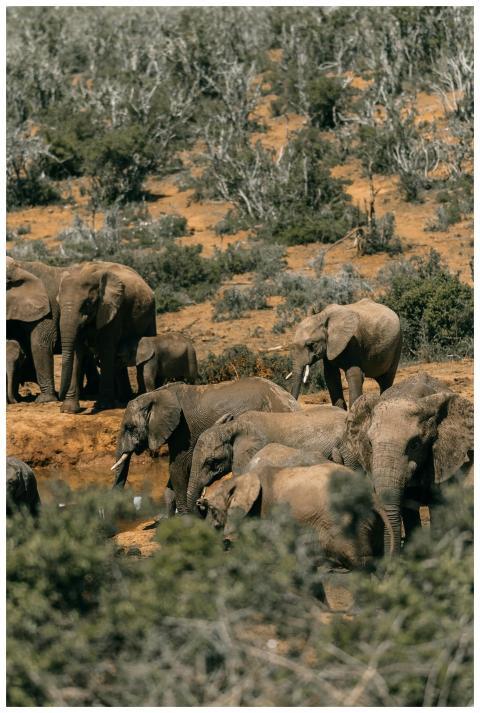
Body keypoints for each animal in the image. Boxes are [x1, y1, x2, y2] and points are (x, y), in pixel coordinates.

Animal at [58, 261, 156, 413]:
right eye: (58, 303)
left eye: (87, 304)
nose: (58, 397)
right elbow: (76, 350)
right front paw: (69, 410)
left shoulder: (113, 310)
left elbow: (107, 348)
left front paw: (103, 406)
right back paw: (125, 398)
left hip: (150, 315)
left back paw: (137, 396)